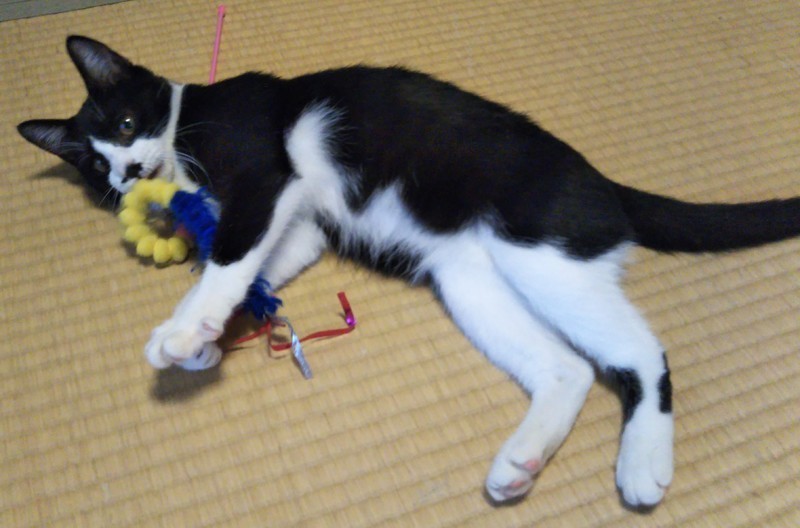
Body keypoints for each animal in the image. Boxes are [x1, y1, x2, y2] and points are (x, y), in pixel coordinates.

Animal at [18, 36, 800, 509]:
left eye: (125, 125)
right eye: (93, 166)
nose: (126, 173)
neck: (188, 124)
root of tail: (603, 184)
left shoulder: (265, 177)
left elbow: (228, 259)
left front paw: (184, 335)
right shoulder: (301, 225)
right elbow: (255, 268)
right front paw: (209, 339)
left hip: (539, 253)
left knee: (640, 350)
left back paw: (641, 463)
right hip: (471, 279)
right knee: (569, 368)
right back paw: (522, 461)